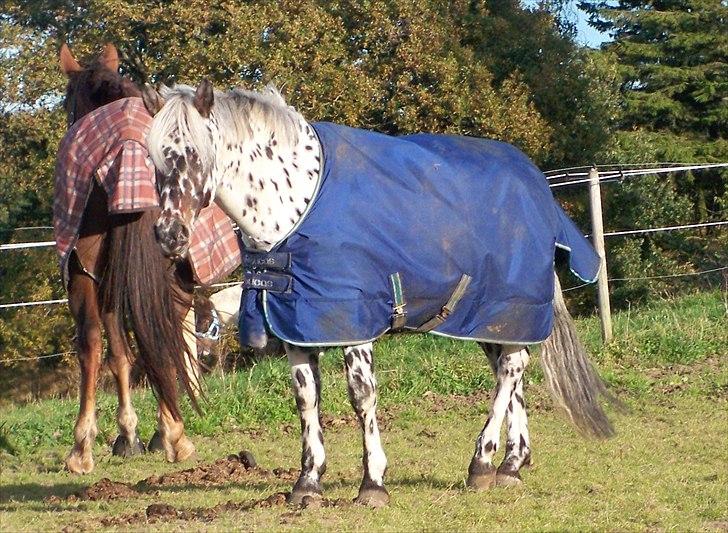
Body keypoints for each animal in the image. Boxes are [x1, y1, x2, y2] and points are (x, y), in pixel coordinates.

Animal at [58, 43, 196, 472]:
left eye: (68, 102)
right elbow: (126, 351)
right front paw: (132, 432)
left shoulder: (88, 274)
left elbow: (103, 347)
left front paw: (108, 436)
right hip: (169, 273)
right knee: (165, 337)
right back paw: (172, 433)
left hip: (86, 275)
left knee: (92, 343)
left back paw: (81, 447)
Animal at [144, 81, 620, 504]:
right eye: (152, 156)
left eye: (195, 152)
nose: (169, 235)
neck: (295, 205)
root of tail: (537, 186)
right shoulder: (297, 325)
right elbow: (306, 399)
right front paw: (307, 483)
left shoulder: (352, 321)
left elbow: (362, 397)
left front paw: (372, 483)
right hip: (487, 315)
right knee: (512, 367)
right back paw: (511, 464)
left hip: (510, 305)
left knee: (510, 369)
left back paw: (482, 462)